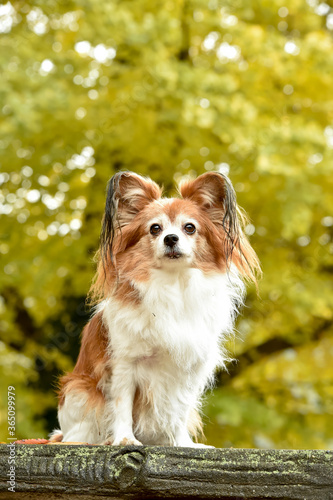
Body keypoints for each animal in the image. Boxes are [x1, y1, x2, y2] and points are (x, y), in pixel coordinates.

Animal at [50, 171, 260, 446]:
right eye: (155, 228)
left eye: (189, 228)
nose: (170, 238)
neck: (173, 284)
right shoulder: (124, 364)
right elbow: (122, 405)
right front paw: (125, 439)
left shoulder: (189, 369)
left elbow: (179, 410)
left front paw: (182, 444)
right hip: (78, 390)